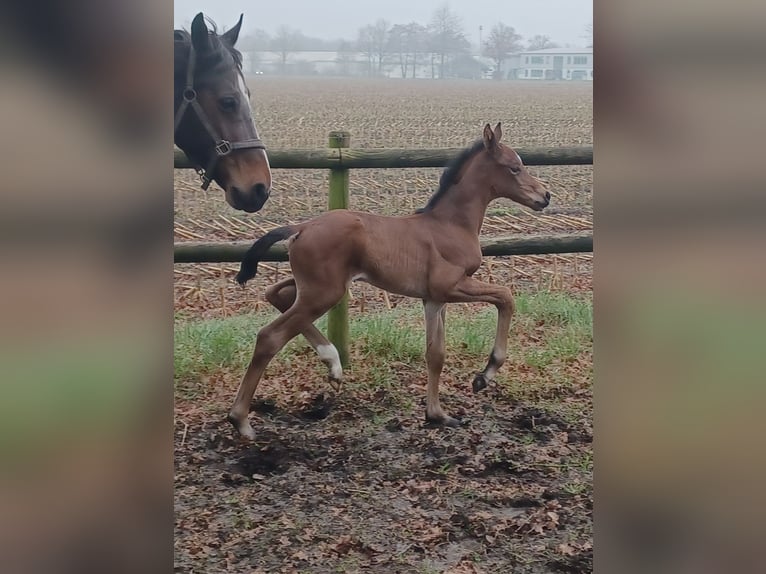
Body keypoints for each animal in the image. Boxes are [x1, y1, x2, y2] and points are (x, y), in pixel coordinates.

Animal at [230, 125, 552, 440]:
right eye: (514, 168)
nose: (546, 195)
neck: (450, 224)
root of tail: (302, 226)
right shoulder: (451, 286)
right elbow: (506, 297)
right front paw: (484, 375)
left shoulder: (433, 298)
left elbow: (435, 353)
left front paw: (437, 415)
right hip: (324, 292)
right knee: (270, 336)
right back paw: (241, 420)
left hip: (314, 286)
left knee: (275, 293)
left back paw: (333, 364)